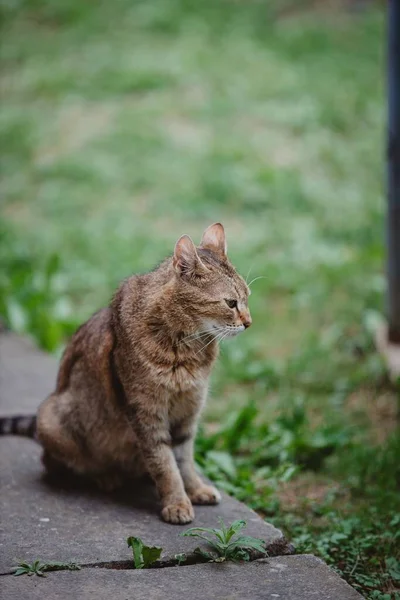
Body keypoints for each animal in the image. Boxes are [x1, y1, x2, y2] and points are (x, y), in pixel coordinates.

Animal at [0, 223, 250, 524]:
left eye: (247, 298)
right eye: (231, 303)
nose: (249, 322)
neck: (188, 347)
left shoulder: (189, 409)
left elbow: (184, 460)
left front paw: (196, 489)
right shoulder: (146, 412)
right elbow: (165, 464)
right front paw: (177, 503)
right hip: (54, 419)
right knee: (55, 464)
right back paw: (105, 476)